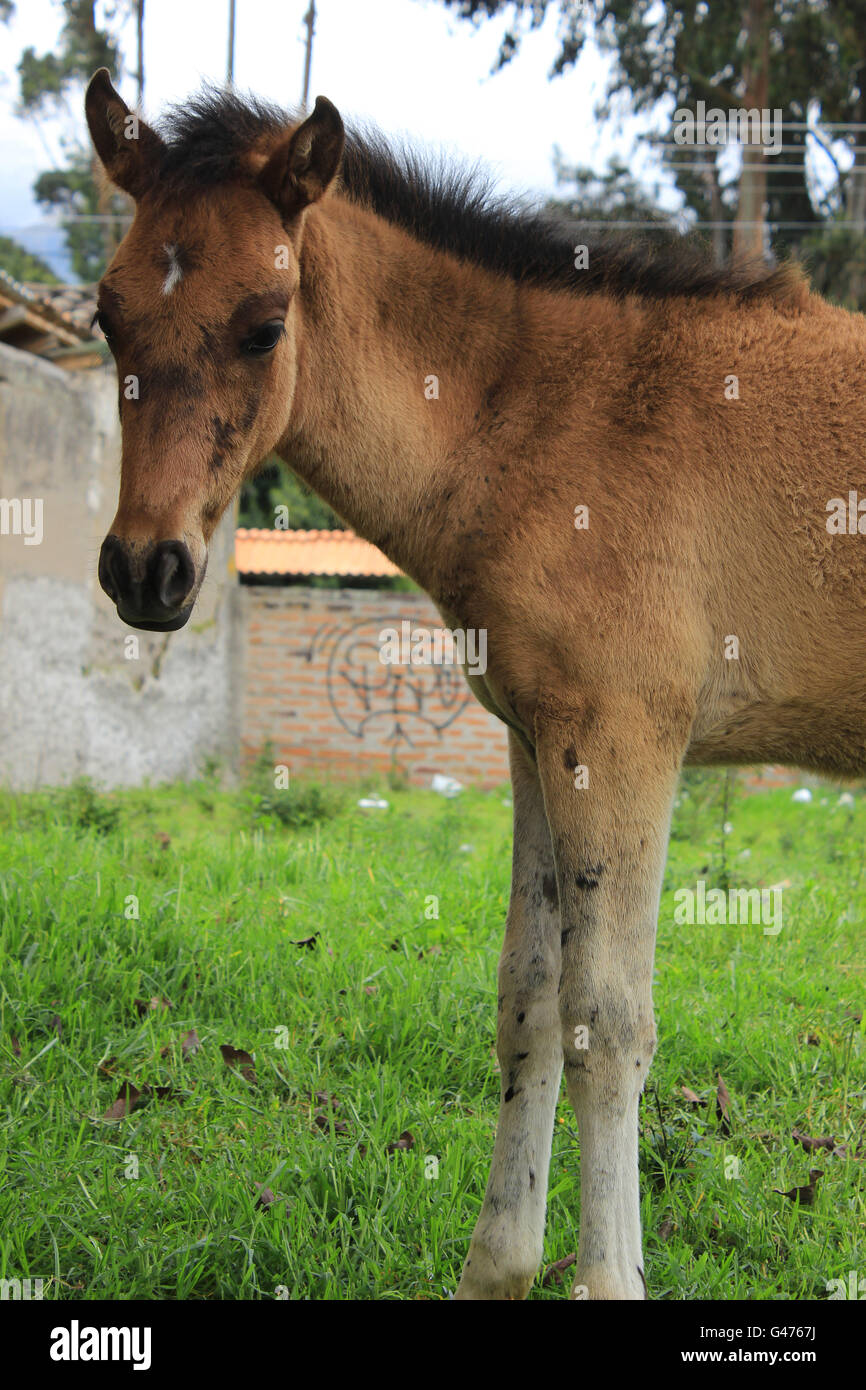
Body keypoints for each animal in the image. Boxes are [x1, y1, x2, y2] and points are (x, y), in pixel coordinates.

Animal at [86, 67, 866, 1301]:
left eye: (265, 327)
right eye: (106, 316)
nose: (143, 570)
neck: (539, 420)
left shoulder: (624, 737)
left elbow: (608, 1022)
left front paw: (606, 1279)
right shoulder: (537, 736)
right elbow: (529, 998)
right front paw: (499, 1266)